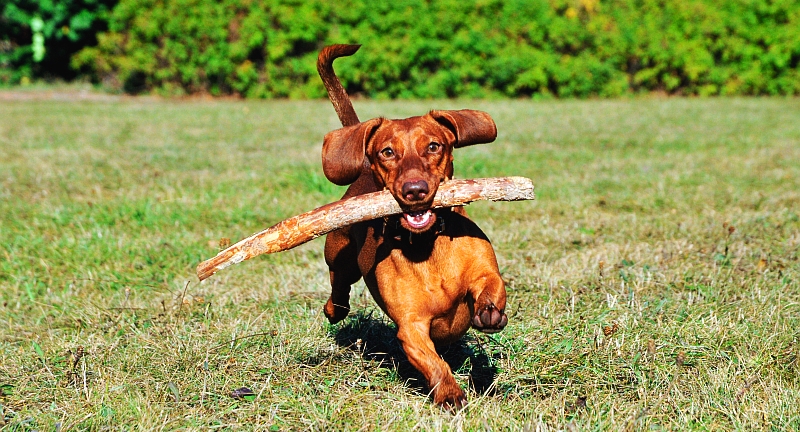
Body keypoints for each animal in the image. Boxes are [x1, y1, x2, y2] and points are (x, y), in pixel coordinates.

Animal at [318, 44, 510, 408]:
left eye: (434, 146)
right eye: (388, 152)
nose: (415, 190)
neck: (427, 246)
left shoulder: (484, 271)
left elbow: (492, 285)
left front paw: (490, 311)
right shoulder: (411, 328)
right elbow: (433, 362)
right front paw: (449, 393)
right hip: (338, 255)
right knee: (339, 286)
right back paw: (334, 308)